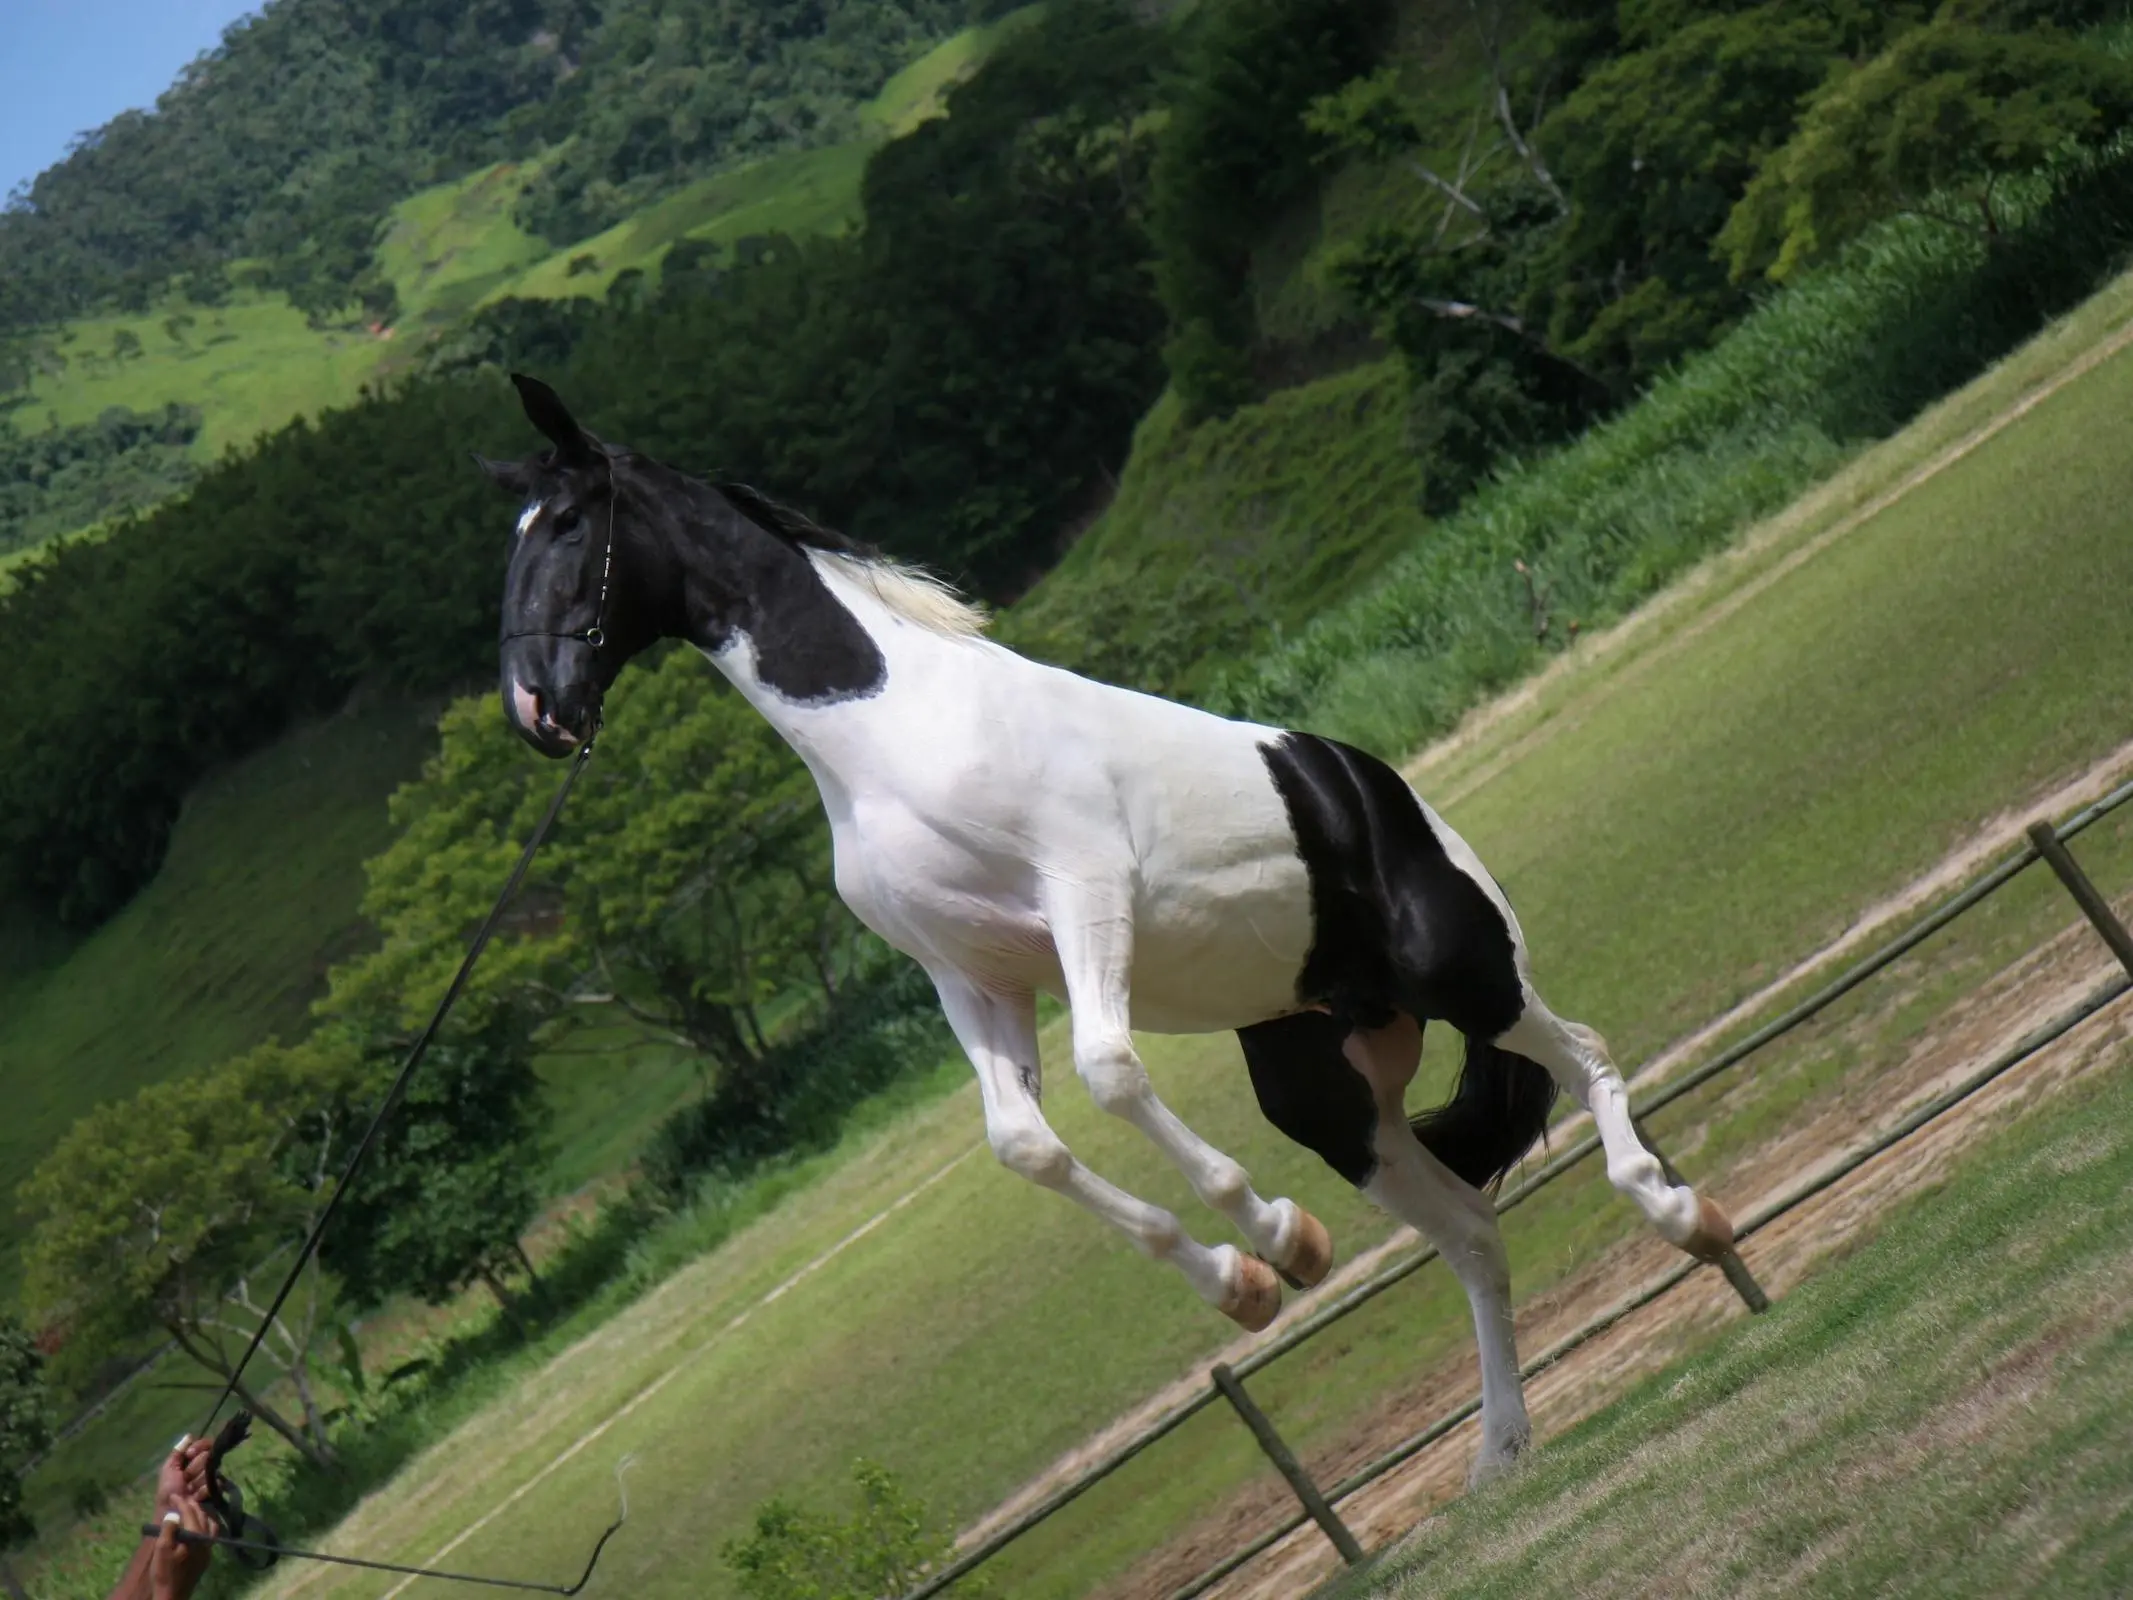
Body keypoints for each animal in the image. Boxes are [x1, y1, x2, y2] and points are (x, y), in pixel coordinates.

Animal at [479, 373, 1733, 1481]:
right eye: (516, 533)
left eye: (573, 521)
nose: (536, 709)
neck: (894, 730)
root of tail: (1372, 788)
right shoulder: (969, 977)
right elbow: (1026, 1143)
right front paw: (1242, 1282)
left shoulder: (1086, 898)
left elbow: (1111, 1072)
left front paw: (1281, 1235)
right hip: (1333, 1098)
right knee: (1473, 1230)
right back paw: (1501, 1452)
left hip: (1467, 973)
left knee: (1586, 1057)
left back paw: (1685, 1213)